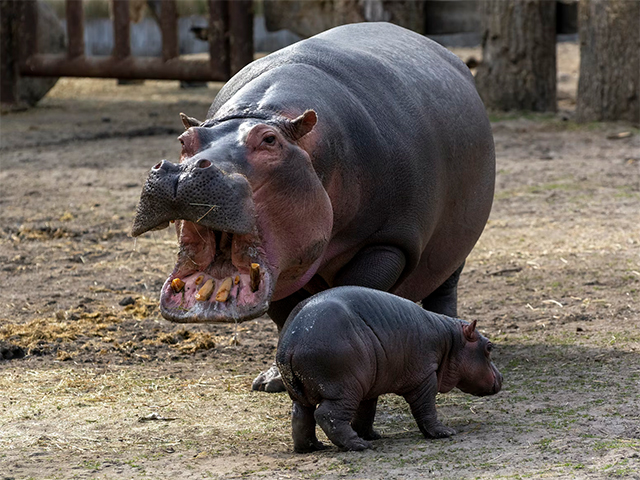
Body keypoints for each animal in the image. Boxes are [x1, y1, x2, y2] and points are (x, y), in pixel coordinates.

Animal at [132, 20, 498, 392]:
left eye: (269, 140)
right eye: (184, 141)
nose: (186, 170)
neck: (267, 115)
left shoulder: (388, 242)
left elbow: (354, 291)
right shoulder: (285, 262)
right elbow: (284, 314)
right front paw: (272, 380)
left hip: (456, 243)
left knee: (445, 287)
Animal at [278, 286, 502, 452]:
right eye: (489, 347)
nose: (501, 377)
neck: (451, 340)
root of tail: (291, 342)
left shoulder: (370, 388)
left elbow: (367, 411)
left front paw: (373, 435)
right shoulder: (424, 378)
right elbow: (426, 408)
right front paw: (444, 432)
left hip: (306, 392)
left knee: (301, 415)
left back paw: (313, 447)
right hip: (344, 388)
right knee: (327, 415)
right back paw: (358, 445)